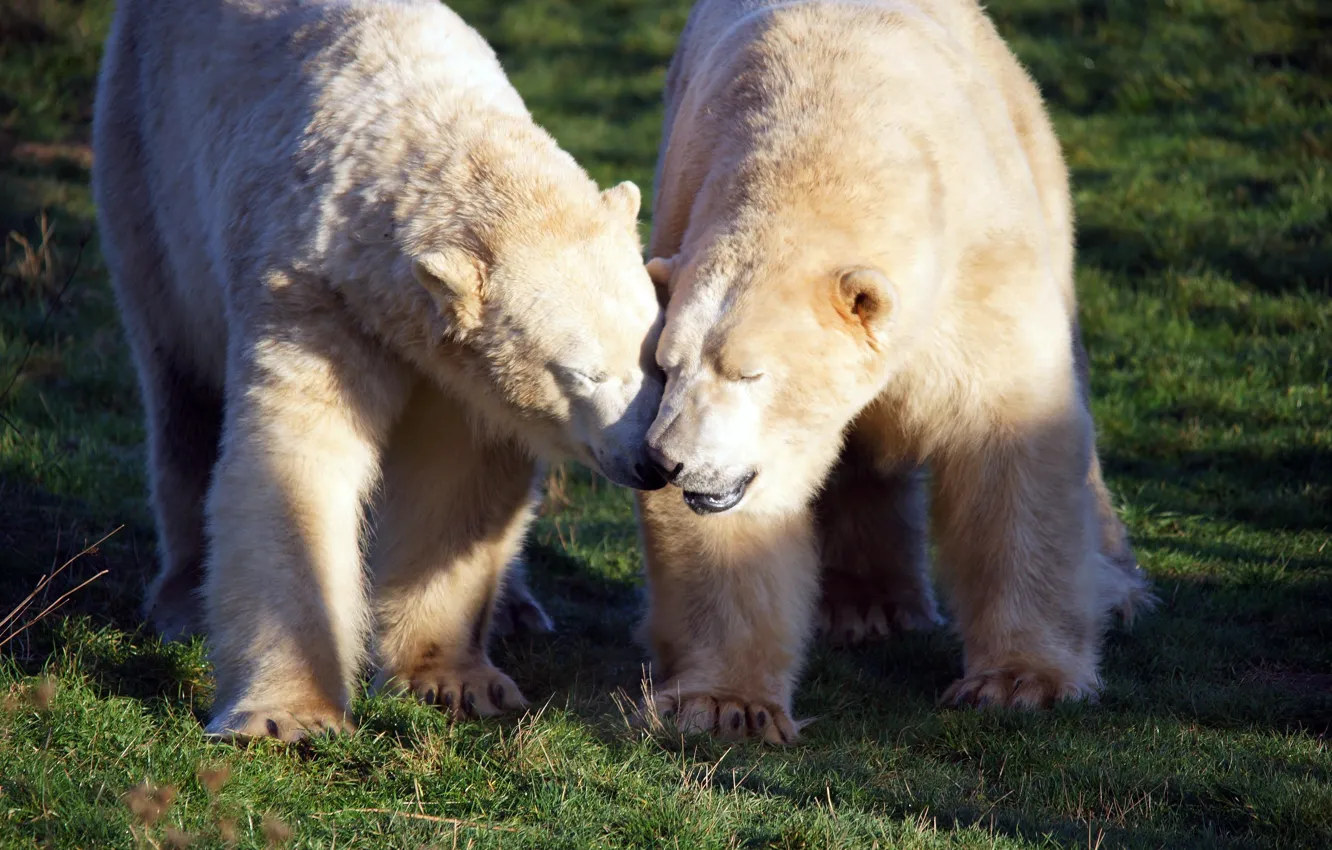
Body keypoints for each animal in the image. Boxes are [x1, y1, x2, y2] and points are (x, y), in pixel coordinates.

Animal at [92, 0, 668, 741]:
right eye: (580, 373)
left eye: (654, 353)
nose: (653, 462)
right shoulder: (311, 294)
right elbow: (296, 461)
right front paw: (289, 717)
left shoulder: (457, 369)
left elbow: (457, 479)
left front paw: (455, 681)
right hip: (147, 168)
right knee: (180, 387)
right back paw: (183, 602)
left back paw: (517, 610)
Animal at [634, 0, 1155, 743]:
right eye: (666, 364)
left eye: (748, 373)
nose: (668, 462)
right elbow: (744, 519)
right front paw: (724, 704)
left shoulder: (978, 267)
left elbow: (1010, 440)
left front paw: (1021, 682)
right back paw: (868, 607)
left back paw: (1116, 590)